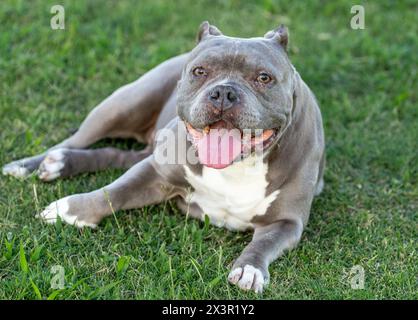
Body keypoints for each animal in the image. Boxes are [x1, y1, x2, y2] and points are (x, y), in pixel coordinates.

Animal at [1, 21, 324, 294]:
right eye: (200, 72)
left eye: (264, 78)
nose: (223, 93)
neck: (237, 167)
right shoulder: (154, 172)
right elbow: (112, 193)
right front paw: (68, 210)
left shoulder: (287, 222)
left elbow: (265, 244)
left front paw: (249, 269)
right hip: (122, 104)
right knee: (75, 140)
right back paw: (35, 164)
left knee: (115, 154)